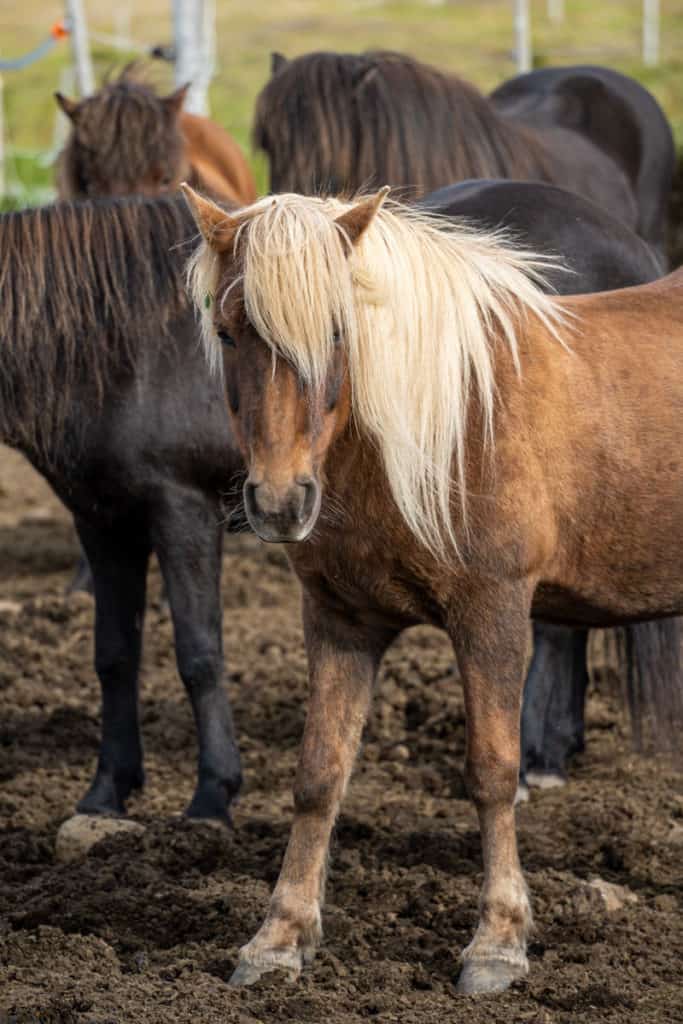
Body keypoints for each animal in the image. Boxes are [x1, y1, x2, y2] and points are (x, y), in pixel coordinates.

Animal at [0, 195, 244, 823]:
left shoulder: (185, 511)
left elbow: (200, 654)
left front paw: (212, 794)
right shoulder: (103, 520)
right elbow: (114, 656)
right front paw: (107, 789)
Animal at [180, 182, 683, 991]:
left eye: (337, 331)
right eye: (227, 334)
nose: (280, 503)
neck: (449, 426)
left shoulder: (493, 613)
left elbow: (493, 771)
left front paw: (497, 942)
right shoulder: (341, 622)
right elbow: (319, 774)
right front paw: (279, 937)